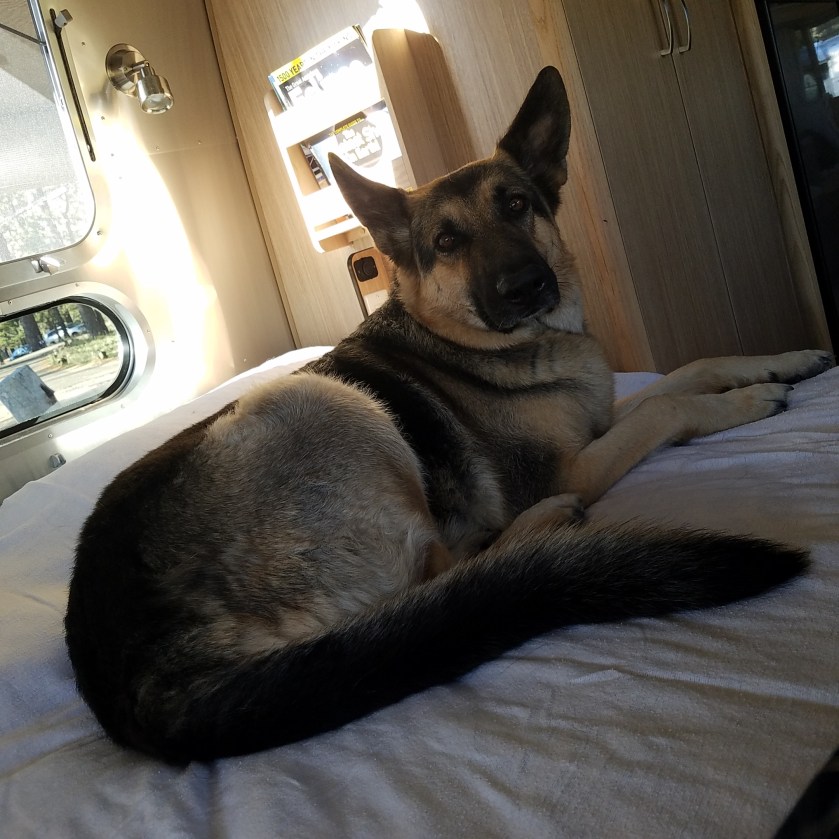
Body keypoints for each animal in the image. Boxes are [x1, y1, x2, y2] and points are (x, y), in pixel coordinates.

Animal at [65, 66, 833, 763]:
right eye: (446, 242)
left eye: (518, 204)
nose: (526, 286)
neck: (489, 342)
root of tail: (139, 687)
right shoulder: (575, 462)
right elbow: (670, 406)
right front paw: (747, 400)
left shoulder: (596, 420)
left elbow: (686, 372)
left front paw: (785, 358)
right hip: (321, 401)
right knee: (445, 576)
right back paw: (545, 526)